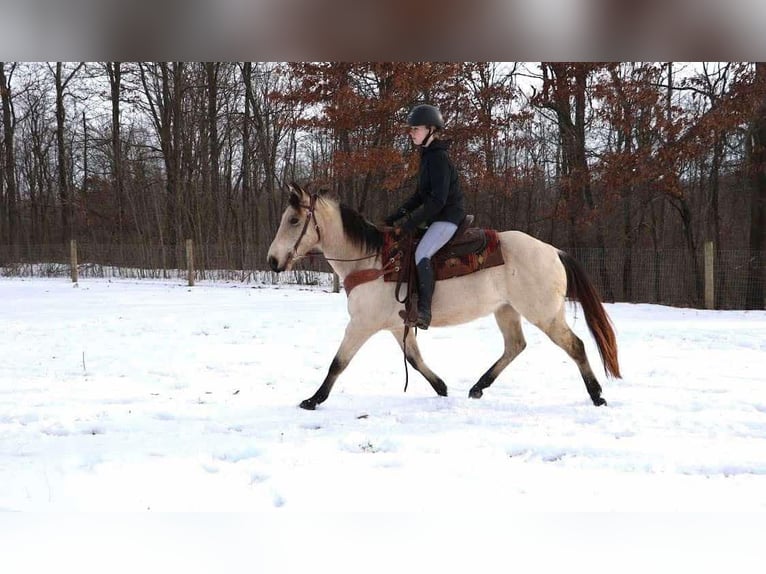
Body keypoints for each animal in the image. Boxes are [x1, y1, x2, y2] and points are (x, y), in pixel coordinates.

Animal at [268, 182, 620, 412]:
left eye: (294, 220)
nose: (273, 261)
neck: (372, 261)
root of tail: (553, 251)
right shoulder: (396, 325)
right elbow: (414, 358)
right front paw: (441, 387)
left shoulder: (362, 324)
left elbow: (338, 362)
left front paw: (313, 400)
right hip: (506, 310)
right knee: (515, 346)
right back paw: (478, 387)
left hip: (544, 314)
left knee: (575, 346)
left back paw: (597, 395)